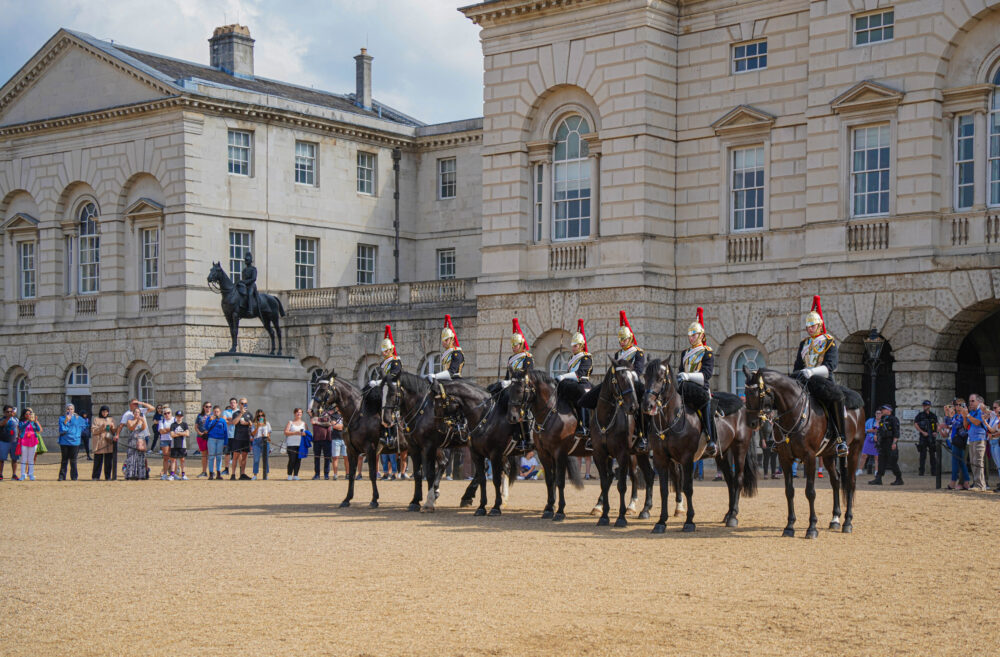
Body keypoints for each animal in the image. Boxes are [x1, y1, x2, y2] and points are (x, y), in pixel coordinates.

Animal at [430, 379, 520, 516]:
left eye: (439, 404)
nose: (440, 428)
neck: (486, 416)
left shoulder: (495, 454)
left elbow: (495, 480)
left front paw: (495, 507)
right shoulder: (477, 453)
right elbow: (483, 479)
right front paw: (482, 507)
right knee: (506, 468)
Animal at [507, 367, 586, 521]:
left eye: (519, 390)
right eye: (509, 389)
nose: (512, 417)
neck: (551, 413)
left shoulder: (560, 453)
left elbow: (560, 481)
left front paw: (560, 511)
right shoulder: (545, 454)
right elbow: (550, 480)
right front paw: (549, 508)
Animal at [590, 357, 654, 527]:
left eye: (635, 379)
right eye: (621, 379)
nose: (634, 407)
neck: (606, 419)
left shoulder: (622, 454)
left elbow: (621, 486)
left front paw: (620, 517)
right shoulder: (600, 455)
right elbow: (605, 482)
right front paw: (603, 515)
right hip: (640, 454)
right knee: (648, 475)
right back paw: (645, 509)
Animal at [641, 358, 758, 533]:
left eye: (661, 378)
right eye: (645, 376)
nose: (647, 405)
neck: (670, 420)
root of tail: (743, 406)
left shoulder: (687, 459)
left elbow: (688, 488)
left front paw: (689, 521)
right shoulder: (660, 459)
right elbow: (663, 490)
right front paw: (661, 522)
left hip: (740, 449)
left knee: (738, 479)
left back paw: (733, 516)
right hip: (722, 454)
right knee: (730, 480)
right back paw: (728, 514)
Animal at [742, 366, 864, 538]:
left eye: (757, 393)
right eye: (745, 393)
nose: (752, 423)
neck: (794, 414)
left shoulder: (810, 457)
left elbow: (810, 492)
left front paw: (812, 527)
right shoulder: (785, 458)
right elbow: (789, 491)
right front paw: (789, 526)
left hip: (854, 451)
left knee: (851, 483)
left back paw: (847, 522)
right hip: (828, 455)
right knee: (836, 480)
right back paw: (835, 519)